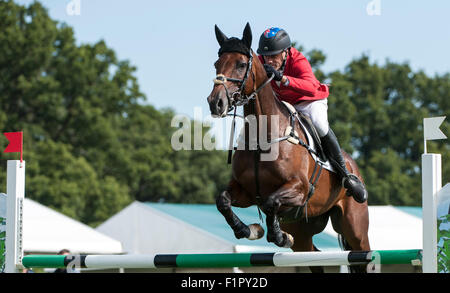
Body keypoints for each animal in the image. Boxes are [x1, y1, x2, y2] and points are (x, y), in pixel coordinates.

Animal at [207, 22, 370, 272]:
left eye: (241, 64)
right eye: (217, 64)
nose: (215, 103)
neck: (262, 136)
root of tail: (354, 166)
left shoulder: (299, 189)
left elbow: (270, 202)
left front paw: (277, 235)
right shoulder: (245, 192)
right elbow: (223, 200)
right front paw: (248, 230)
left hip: (355, 226)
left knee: (364, 254)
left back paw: (353, 184)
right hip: (303, 230)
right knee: (313, 255)